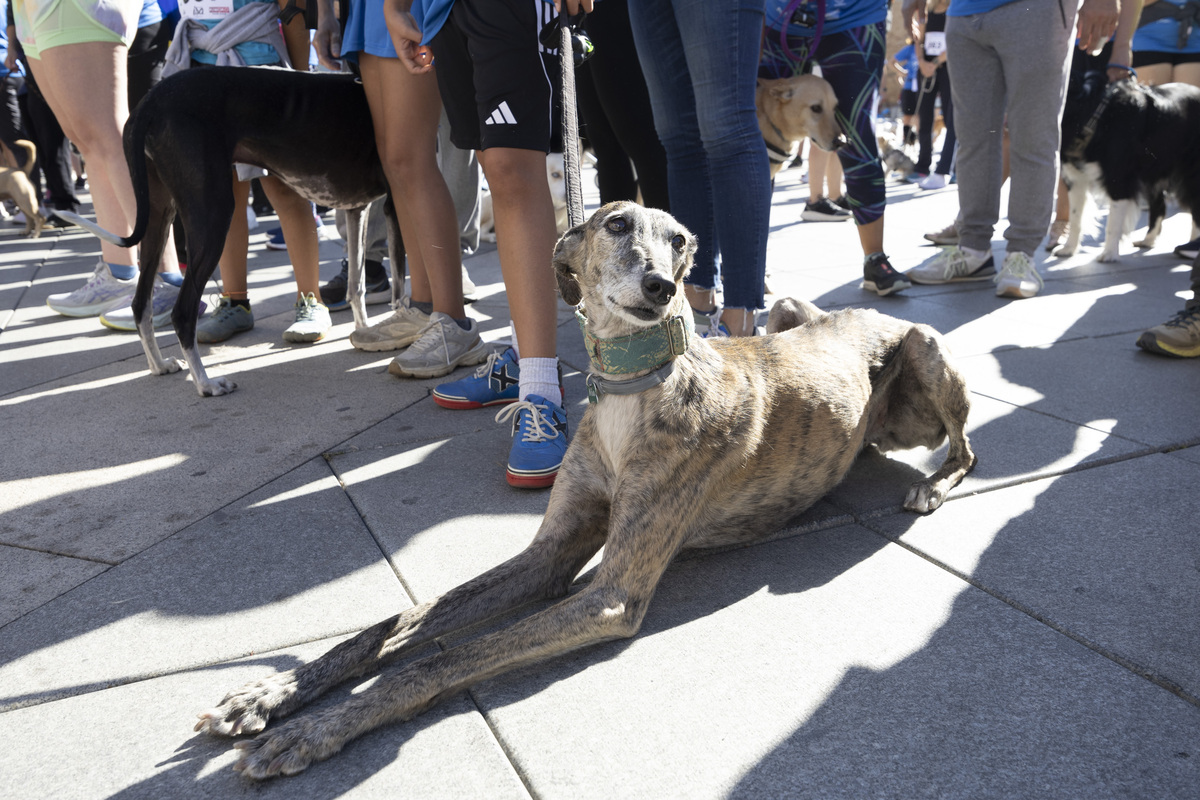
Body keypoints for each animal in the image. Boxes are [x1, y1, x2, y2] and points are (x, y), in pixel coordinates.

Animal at [62, 68, 403, 398]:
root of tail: (151, 100)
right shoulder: (398, 202)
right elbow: (400, 284)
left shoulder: (357, 209)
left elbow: (357, 285)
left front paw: (367, 332)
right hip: (213, 212)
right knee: (182, 312)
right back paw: (206, 384)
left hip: (159, 214)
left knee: (140, 302)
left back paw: (159, 365)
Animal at [189, 201, 974, 782]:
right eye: (617, 224)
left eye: (680, 240)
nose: (661, 287)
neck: (634, 389)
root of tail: (871, 315)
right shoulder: (550, 554)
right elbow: (395, 625)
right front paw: (273, 694)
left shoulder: (610, 592)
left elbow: (443, 656)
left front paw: (315, 731)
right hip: (788, 309)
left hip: (927, 351)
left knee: (965, 446)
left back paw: (934, 489)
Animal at [1056, 73, 1200, 261]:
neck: (1095, 115)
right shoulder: (1076, 179)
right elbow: (1075, 217)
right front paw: (1069, 249)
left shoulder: (1119, 179)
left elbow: (1113, 222)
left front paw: (1109, 254)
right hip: (1152, 173)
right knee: (1160, 206)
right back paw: (1148, 240)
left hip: (1189, 172)